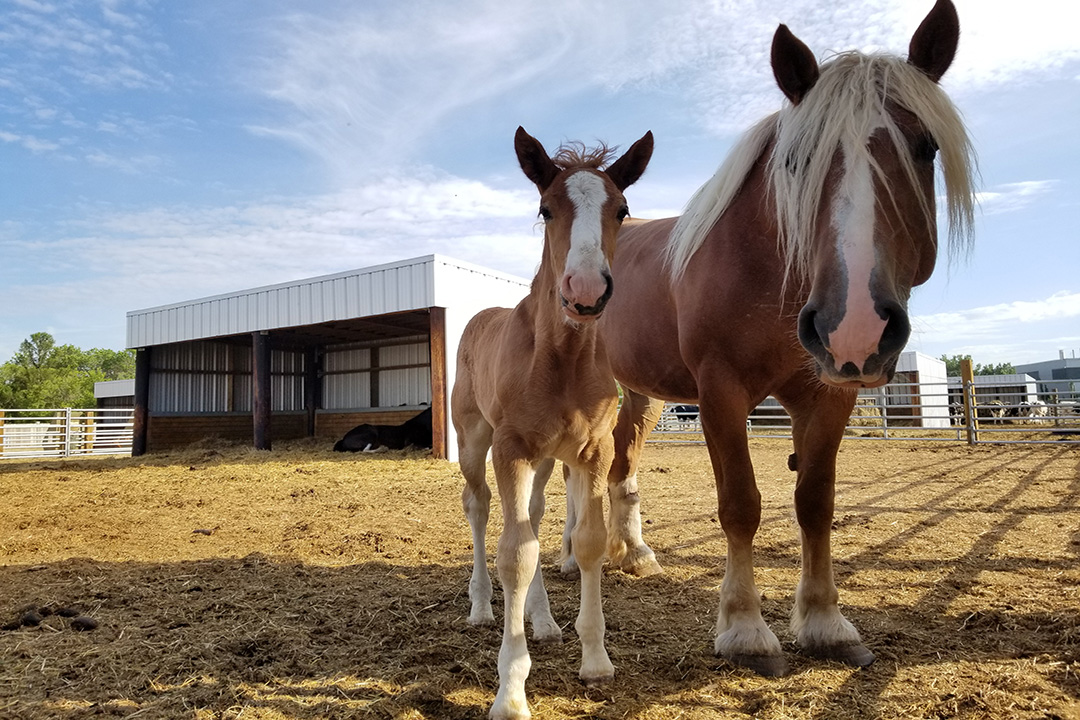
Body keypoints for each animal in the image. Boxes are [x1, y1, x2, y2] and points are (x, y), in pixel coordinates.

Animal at [453, 126, 652, 716]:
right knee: (479, 507)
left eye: (622, 209)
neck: (561, 361)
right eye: (545, 208)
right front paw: (511, 692)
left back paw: (540, 620)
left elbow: (586, 542)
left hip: (544, 460)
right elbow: (515, 555)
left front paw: (596, 660)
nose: (585, 291)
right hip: (474, 441)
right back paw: (481, 607)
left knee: (536, 518)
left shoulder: (593, 451)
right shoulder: (511, 447)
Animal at [596, 0, 976, 677]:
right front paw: (745, 630)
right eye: (796, 161)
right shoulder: (720, 394)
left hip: (642, 394)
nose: (855, 325)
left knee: (623, 463)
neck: (766, 274)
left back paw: (634, 554)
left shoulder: (829, 395)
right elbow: (741, 505)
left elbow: (814, 502)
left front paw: (825, 622)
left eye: (925, 147)